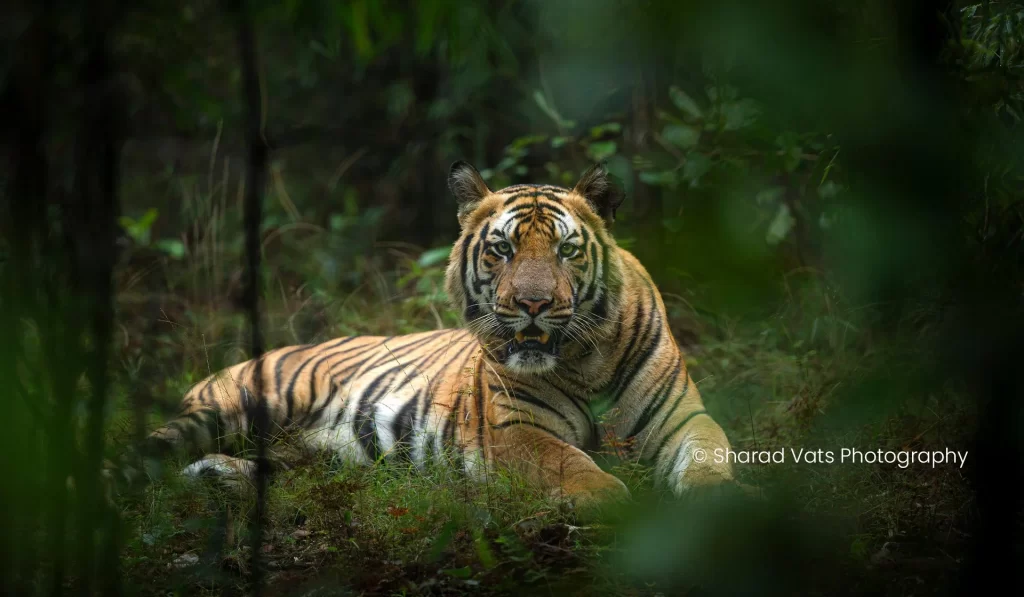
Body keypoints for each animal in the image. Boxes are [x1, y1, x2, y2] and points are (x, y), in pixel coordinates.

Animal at [118, 162, 737, 508]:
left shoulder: (683, 418)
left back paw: (220, 479)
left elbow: (709, 457)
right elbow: (570, 462)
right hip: (233, 407)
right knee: (144, 455)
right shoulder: (515, 430)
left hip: (314, 454)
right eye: (501, 249)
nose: (533, 304)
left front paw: (724, 501)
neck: (585, 360)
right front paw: (609, 498)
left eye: (566, 250)